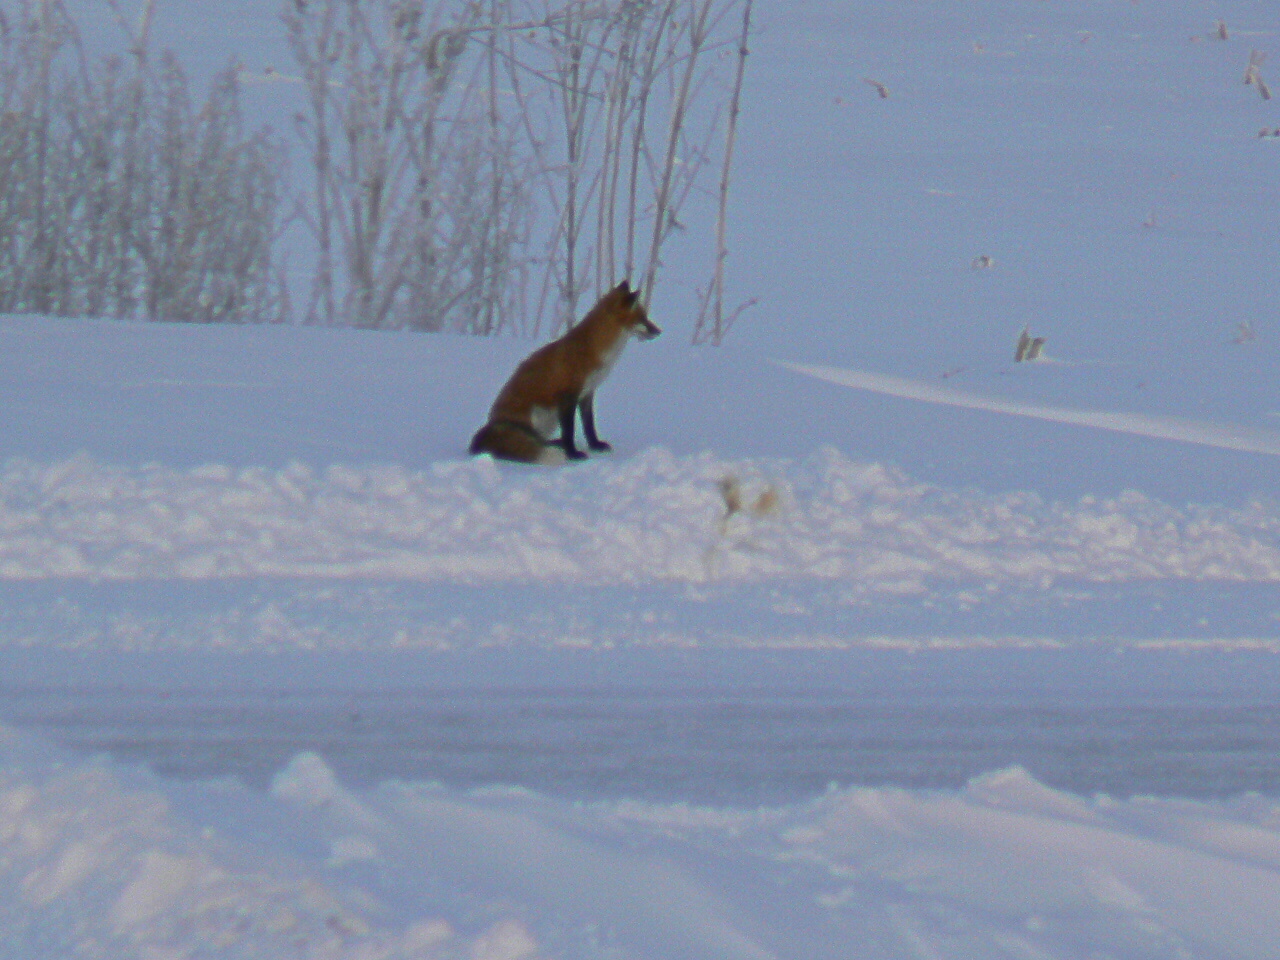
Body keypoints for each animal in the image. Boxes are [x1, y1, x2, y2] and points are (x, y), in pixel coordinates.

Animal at [468, 280, 660, 463]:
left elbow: (589, 425)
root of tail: (482, 437)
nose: (659, 331)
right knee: (538, 441)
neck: (595, 351)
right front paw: (573, 454)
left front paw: (595, 446)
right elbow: (569, 430)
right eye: (642, 318)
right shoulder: (567, 396)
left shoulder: (587, 393)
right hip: (535, 417)